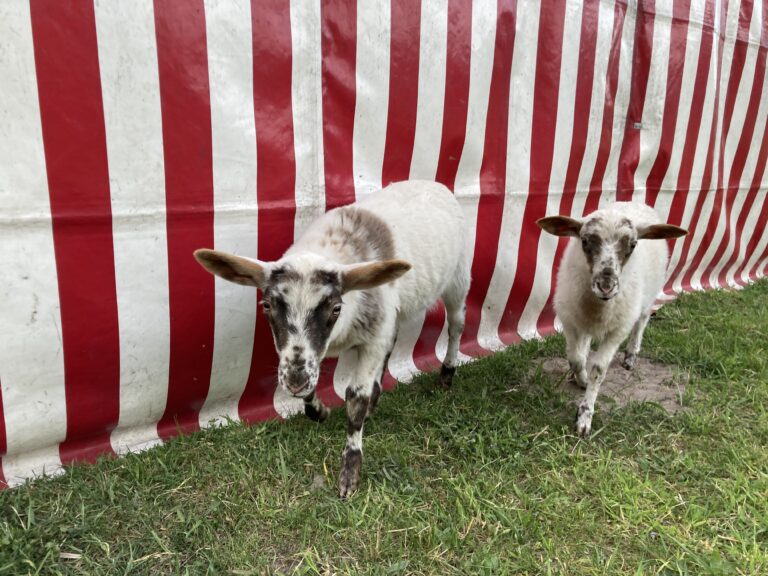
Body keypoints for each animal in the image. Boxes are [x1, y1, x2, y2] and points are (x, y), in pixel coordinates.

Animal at [194, 181, 468, 500]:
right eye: (267, 305)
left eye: (336, 308)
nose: (293, 382)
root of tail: (434, 184)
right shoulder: (316, 349)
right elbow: (313, 381)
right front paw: (318, 410)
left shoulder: (371, 337)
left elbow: (355, 399)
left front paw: (350, 473)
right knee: (393, 342)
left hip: (458, 281)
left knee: (455, 327)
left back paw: (447, 374)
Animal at [536, 202, 688, 436]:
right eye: (585, 241)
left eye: (633, 244)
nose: (606, 286)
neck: (598, 306)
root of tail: (635, 202)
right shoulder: (571, 321)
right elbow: (576, 359)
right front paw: (581, 379)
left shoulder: (617, 331)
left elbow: (598, 369)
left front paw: (585, 415)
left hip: (647, 298)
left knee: (641, 322)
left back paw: (630, 356)